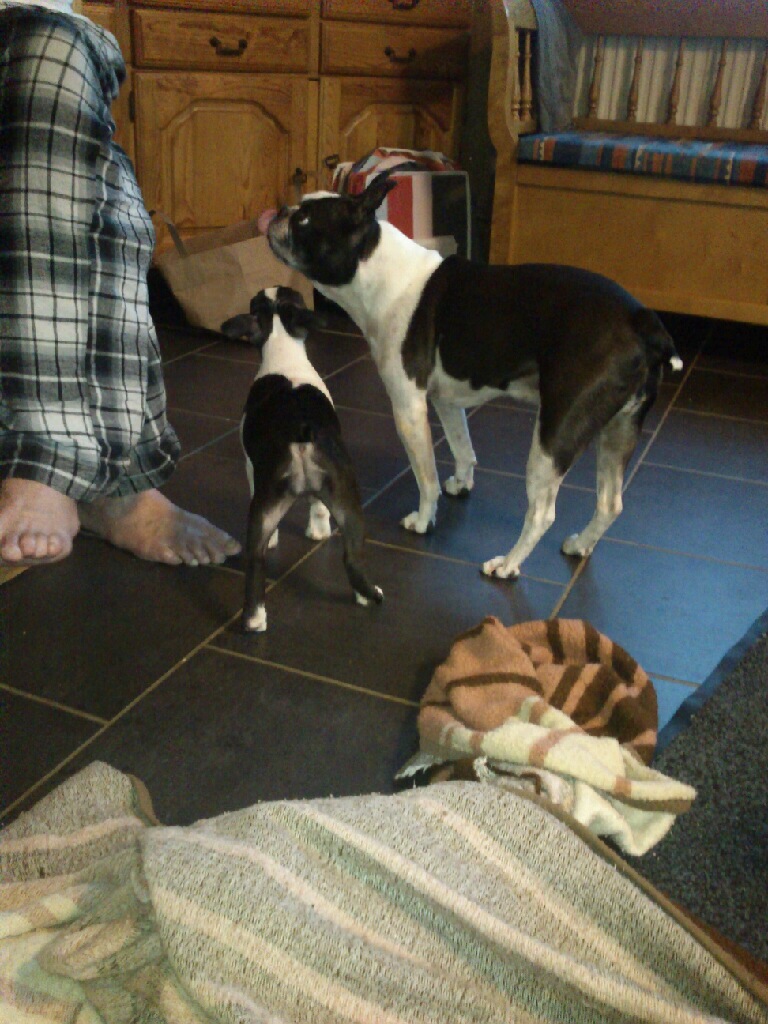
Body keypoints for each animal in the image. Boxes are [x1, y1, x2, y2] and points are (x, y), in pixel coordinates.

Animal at [221, 286, 383, 632]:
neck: (282, 345)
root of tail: (300, 425)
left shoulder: (251, 467)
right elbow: (318, 506)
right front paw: (318, 530)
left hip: (266, 500)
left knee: (257, 557)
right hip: (346, 495)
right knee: (351, 555)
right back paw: (367, 594)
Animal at [266, 174, 683, 580]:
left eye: (305, 220)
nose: (280, 210)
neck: (377, 269)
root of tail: (642, 321)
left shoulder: (408, 407)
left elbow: (426, 476)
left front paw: (424, 520)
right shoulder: (447, 401)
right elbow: (462, 447)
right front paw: (462, 483)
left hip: (555, 437)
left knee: (542, 513)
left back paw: (508, 564)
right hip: (619, 430)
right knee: (611, 502)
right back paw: (581, 544)